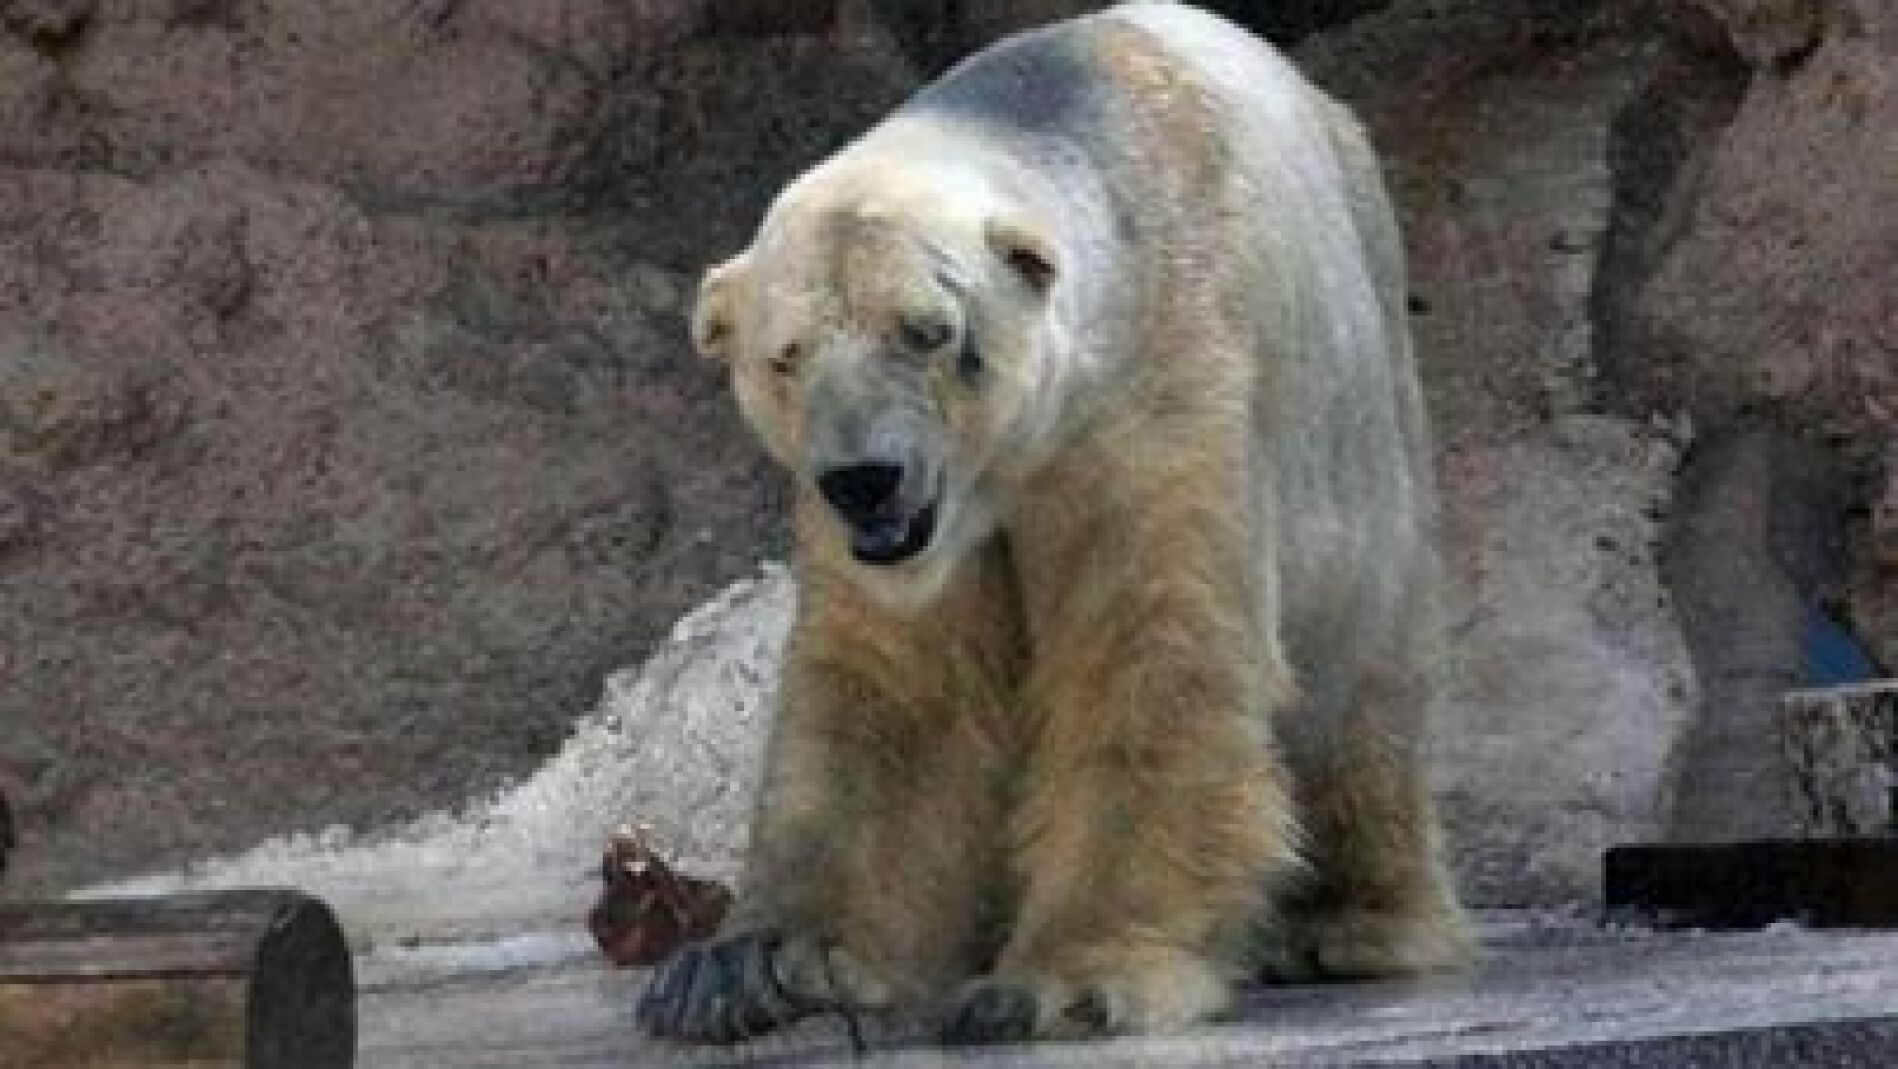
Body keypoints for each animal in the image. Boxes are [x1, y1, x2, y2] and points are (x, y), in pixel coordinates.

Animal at [637, 0, 1470, 1047]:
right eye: (785, 355)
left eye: (929, 331)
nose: (865, 480)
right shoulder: (906, 536)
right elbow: (899, 691)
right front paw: (749, 964)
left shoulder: (1151, 407)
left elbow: (1149, 658)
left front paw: (1055, 982)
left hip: (1366, 421)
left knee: (1361, 681)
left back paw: (1348, 923)